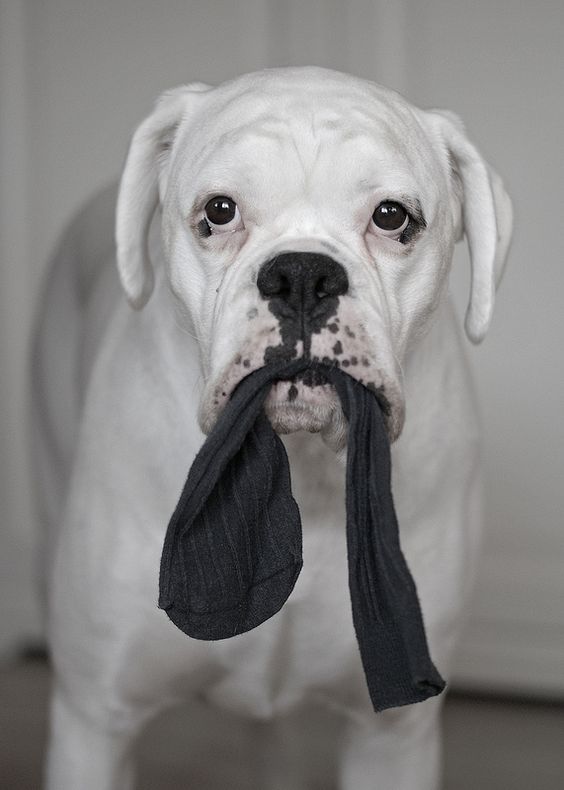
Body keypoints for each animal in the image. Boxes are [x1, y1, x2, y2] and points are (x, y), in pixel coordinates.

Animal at [34, 69, 512, 790]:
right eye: (219, 211)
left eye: (393, 217)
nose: (303, 274)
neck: (303, 471)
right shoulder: (94, 722)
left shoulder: (392, 738)